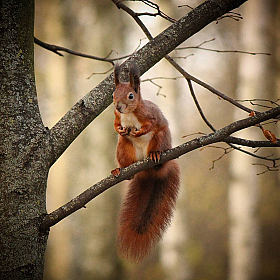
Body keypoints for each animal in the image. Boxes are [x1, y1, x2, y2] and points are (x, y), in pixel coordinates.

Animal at [111, 62, 179, 262]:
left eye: (130, 96)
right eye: (113, 95)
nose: (118, 107)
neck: (129, 115)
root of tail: (148, 171)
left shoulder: (149, 115)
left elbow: (150, 124)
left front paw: (139, 131)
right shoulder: (117, 118)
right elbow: (115, 125)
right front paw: (121, 129)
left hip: (161, 138)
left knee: (158, 146)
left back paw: (156, 157)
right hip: (124, 148)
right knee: (125, 160)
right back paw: (119, 170)